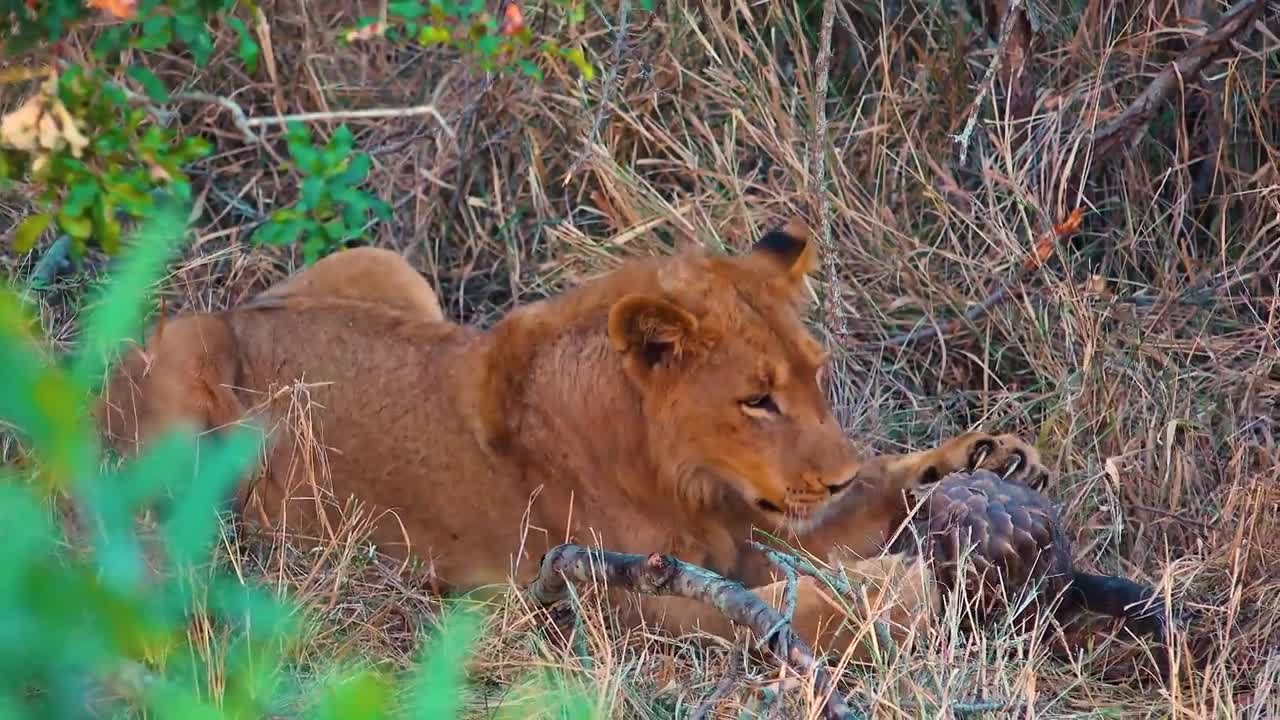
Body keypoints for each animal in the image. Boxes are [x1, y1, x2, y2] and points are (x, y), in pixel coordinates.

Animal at [97, 226, 1039, 661]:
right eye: (756, 400)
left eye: (817, 376)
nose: (834, 475)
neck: (684, 474)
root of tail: (232, 308)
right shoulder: (629, 602)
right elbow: (796, 606)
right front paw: (909, 587)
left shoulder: (761, 520)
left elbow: (864, 509)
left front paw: (982, 466)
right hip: (184, 375)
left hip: (380, 262)